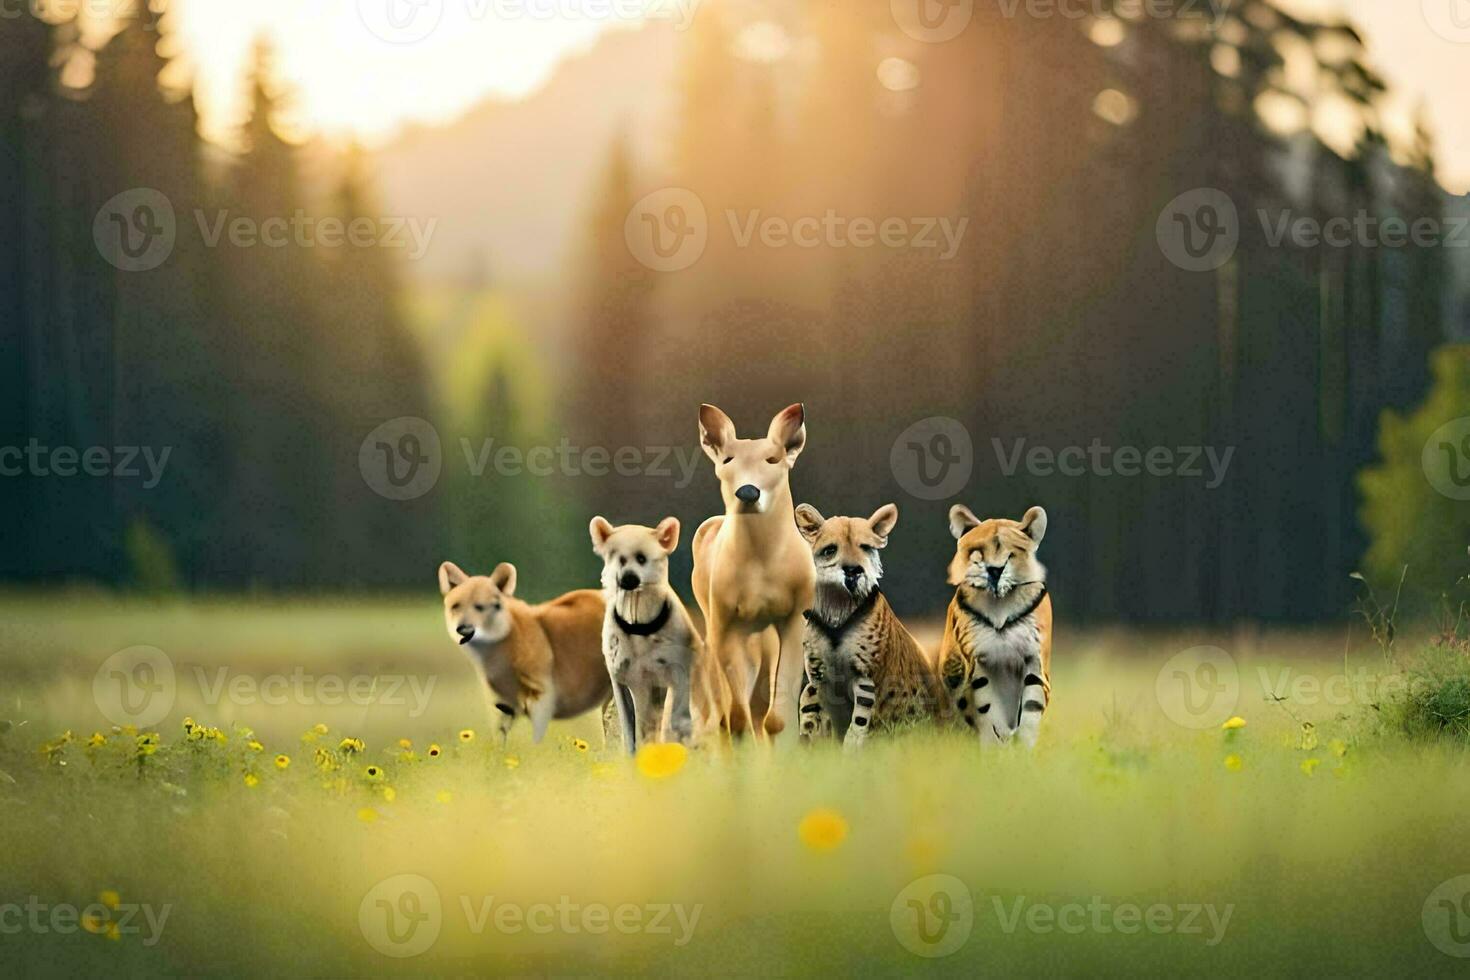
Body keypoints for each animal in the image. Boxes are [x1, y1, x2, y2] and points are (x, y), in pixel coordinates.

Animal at [799, 505, 946, 752]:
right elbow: (812, 718)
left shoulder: (865, 679)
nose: (853, 570)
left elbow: (858, 722)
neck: (838, 610)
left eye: (865, 547)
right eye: (830, 550)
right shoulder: (819, 680)